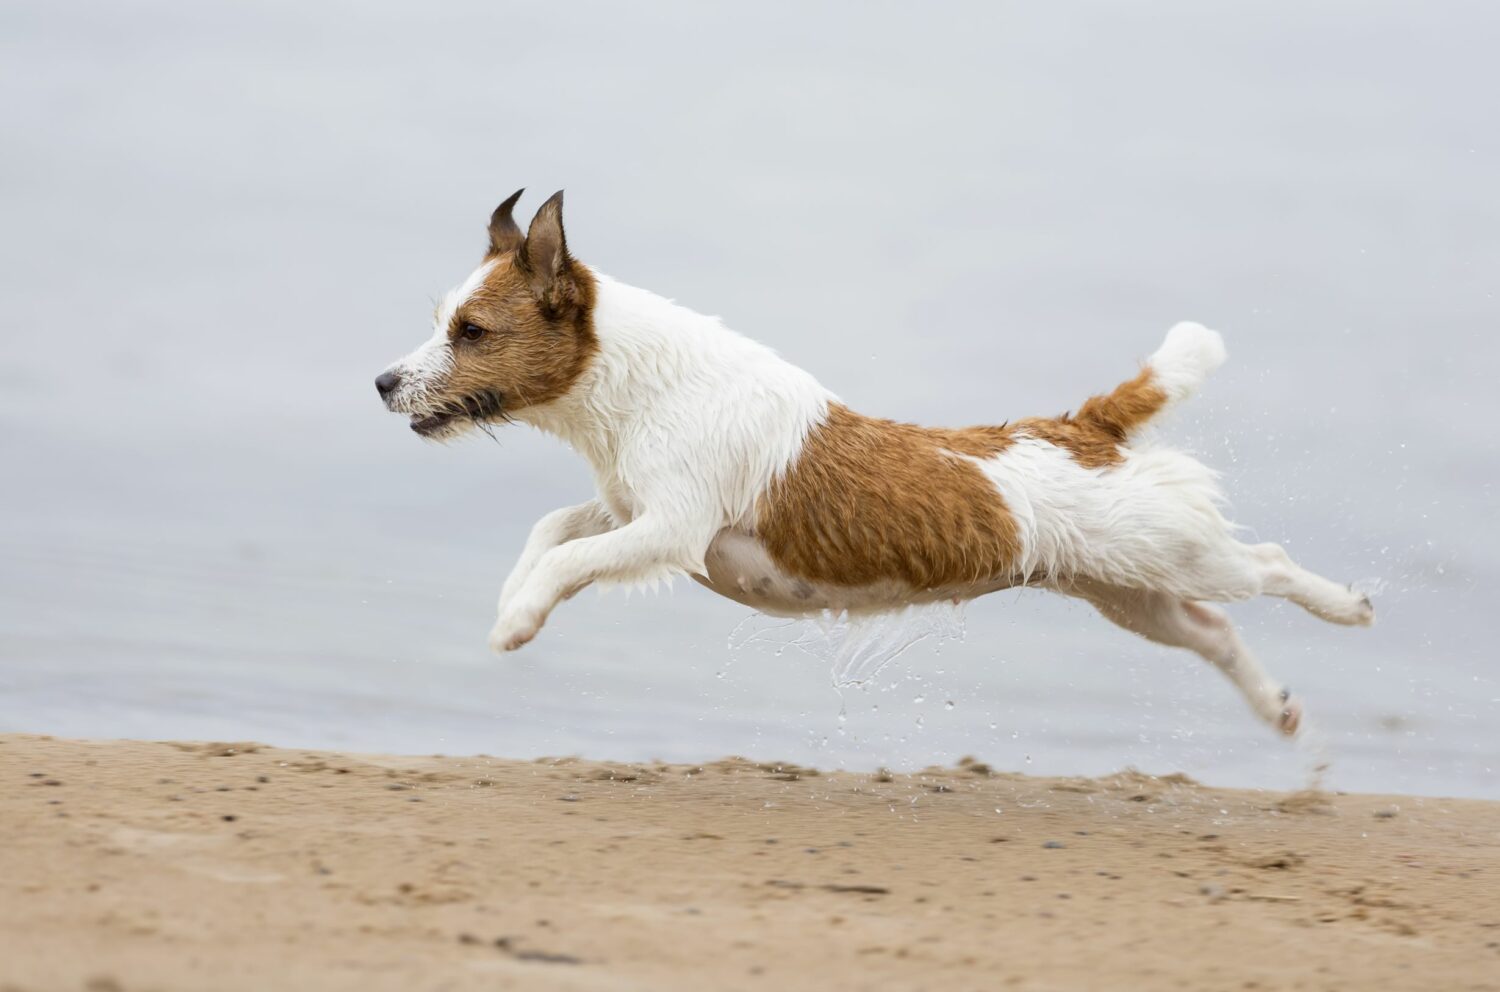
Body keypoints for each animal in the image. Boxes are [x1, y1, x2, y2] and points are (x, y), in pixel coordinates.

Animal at [375, 189, 1374, 735]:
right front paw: (515, 599)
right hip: (1129, 592)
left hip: (1172, 553)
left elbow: (572, 557)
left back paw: (1347, 606)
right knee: (1211, 633)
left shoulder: (669, 529)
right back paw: (1279, 708)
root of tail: (1081, 426)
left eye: (472, 332)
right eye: (444, 323)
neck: (641, 383)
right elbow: (553, 532)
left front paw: (519, 622)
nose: (383, 382)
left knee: (1266, 567)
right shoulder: (628, 510)